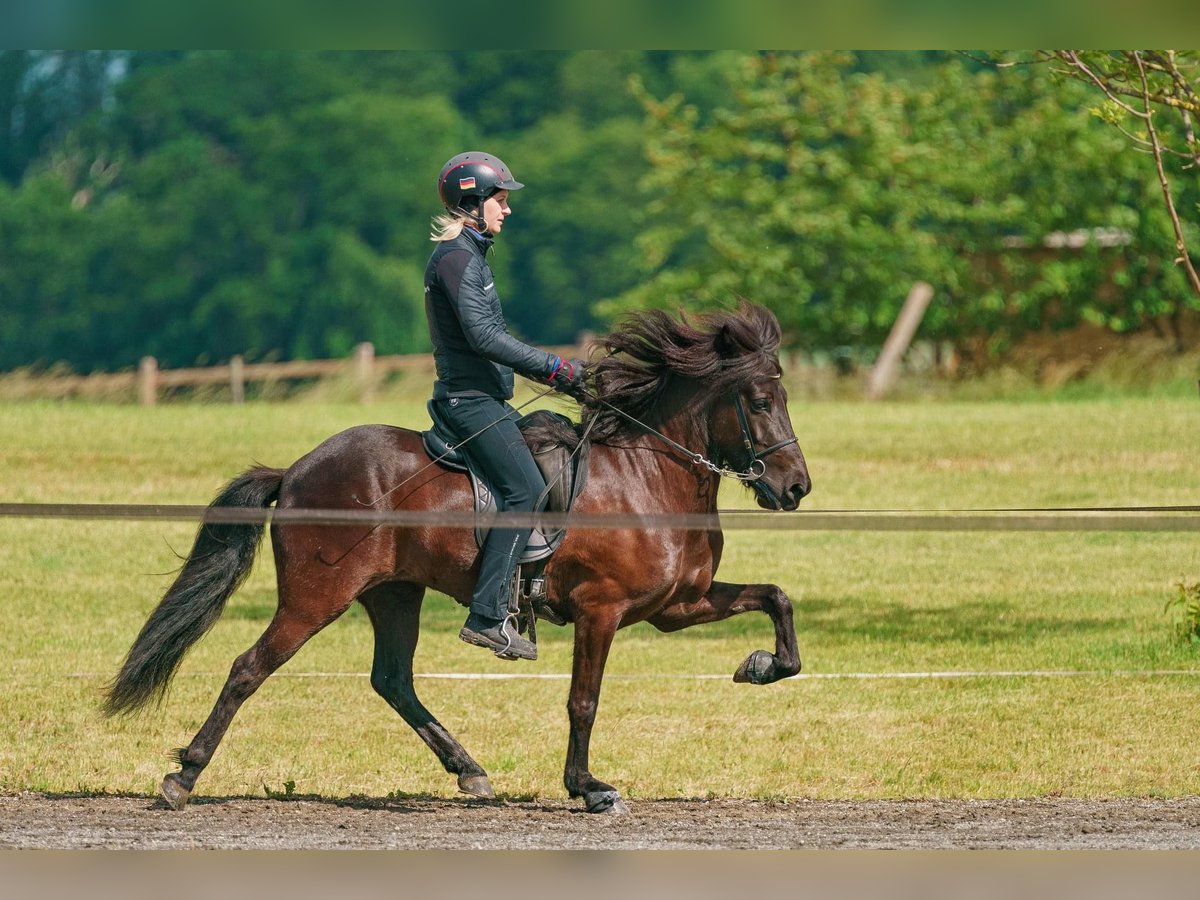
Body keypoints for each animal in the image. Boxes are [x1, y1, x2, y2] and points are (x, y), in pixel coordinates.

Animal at [105, 303, 816, 816]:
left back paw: (469, 771)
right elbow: (583, 700)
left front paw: (761, 666)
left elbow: (777, 596)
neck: (647, 476)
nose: (795, 489)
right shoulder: (602, 610)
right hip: (316, 598)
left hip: (394, 593)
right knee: (249, 668)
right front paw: (588, 787)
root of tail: (298, 469)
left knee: (392, 680)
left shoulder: (677, 606)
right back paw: (184, 775)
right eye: (759, 401)